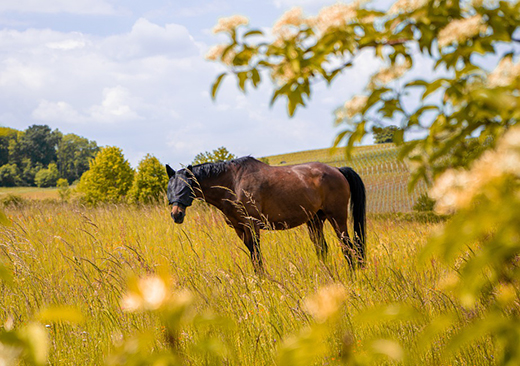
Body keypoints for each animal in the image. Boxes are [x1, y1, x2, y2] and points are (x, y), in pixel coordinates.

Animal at [166, 156, 366, 274]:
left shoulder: (252, 226)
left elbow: (257, 255)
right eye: (170, 188)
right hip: (315, 220)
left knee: (348, 246)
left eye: (186, 187)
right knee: (322, 248)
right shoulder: (240, 229)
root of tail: (337, 170)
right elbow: (253, 256)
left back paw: (352, 273)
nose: (176, 214)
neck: (232, 183)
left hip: (337, 218)